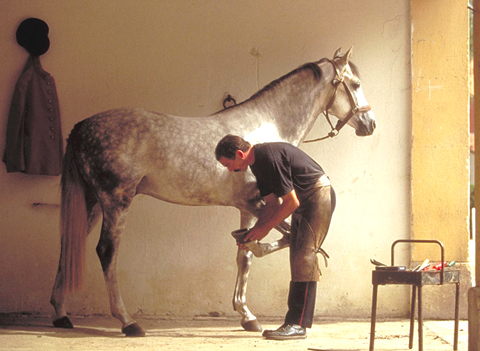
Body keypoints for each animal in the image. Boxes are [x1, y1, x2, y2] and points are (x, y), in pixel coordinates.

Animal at [50, 48, 376, 336]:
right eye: (356, 85)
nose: (370, 124)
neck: (262, 129)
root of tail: (81, 128)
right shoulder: (260, 204)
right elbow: (281, 239)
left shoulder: (248, 208)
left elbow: (244, 255)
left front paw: (247, 316)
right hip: (116, 201)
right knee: (107, 252)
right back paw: (128, 322)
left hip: (93, 203)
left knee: (68, 245)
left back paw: (61, 314)